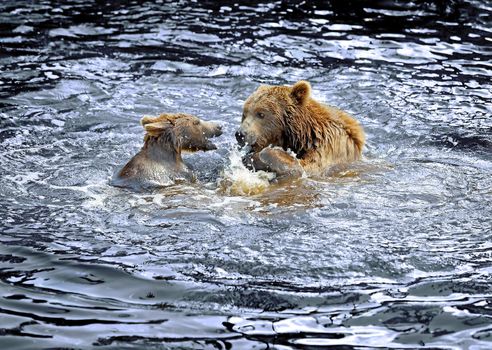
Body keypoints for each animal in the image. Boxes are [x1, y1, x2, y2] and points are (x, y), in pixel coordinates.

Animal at [234, 79, 366, 178]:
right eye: (244, 113)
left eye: (261, 114)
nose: (240, 134)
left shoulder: (328, 146)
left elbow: (307, 167)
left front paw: (257, 157)